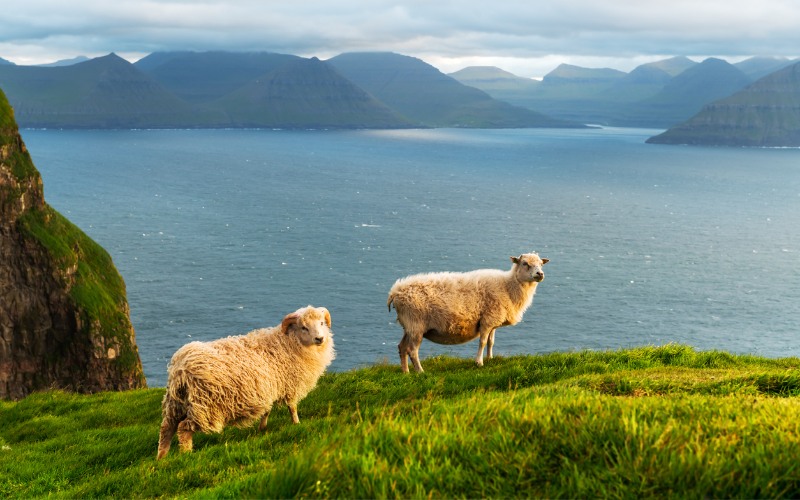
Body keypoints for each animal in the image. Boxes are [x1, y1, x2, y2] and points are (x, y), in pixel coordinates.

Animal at [156, 302, 334, 458]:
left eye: (321, 323)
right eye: (304, 327)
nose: (320, 339)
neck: (287, 343)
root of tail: (180, 367)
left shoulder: (270, 388)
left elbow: (267, 410)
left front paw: (262, 428)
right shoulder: (290, 385)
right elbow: (292, 407)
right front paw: (297, 424)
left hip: (176, 403)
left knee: (166, 428)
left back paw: (162, 458)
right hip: (204, 407)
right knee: (183, 428)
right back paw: (186, 454)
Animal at [388, 252, 552, 374]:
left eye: (541, 264)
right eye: (525, 263)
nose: (540, 274)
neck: (508, 286)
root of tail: (395, 292)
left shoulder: (493, 320)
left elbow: (491, 342)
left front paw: (490, 358)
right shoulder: (487, 320)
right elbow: (483, 341)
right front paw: (479, 362)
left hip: (409, 326)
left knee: (402, 347)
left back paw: (406, 372)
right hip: (416, 324)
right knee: (412, 350)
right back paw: (420, 371)